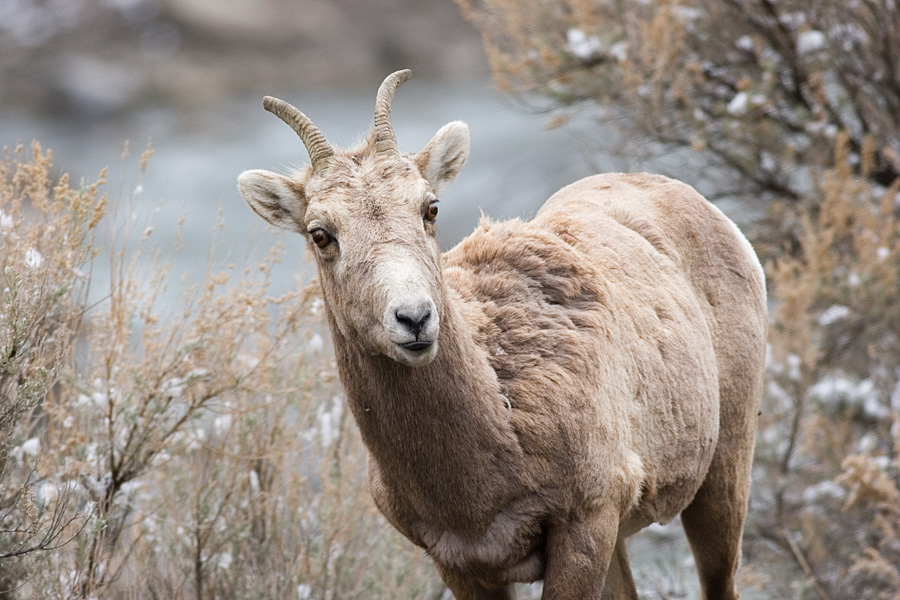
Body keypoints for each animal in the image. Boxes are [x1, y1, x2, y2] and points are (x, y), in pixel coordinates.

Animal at [237, 71, 768, 600]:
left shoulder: (584, 528)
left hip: (723, 474)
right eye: (320, 234)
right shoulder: (462, 562)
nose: (414, 318)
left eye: (430, 208)